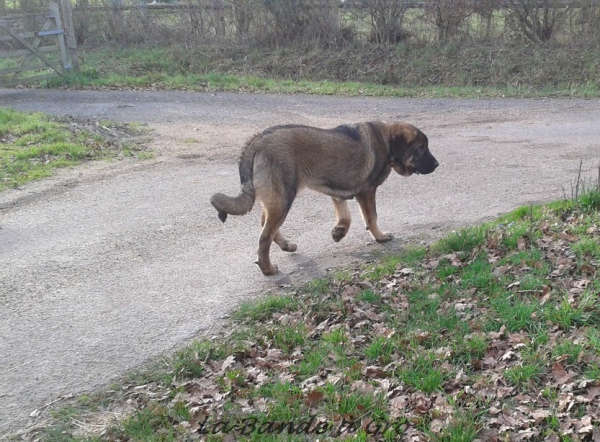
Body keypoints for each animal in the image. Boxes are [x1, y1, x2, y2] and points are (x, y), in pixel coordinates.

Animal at [213, 120, 438, 272]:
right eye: (422, 148)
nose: (437, 164)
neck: (387, 141)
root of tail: (257, 139)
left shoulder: (338, 192)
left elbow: (345, 216)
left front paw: (339, 232)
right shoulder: (367, 192)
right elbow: (371, 217)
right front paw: (380, 237)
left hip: (277, 200)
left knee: (264, 224)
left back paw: (286, 246)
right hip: (283, 199)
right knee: (264, 237)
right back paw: (267, 269)